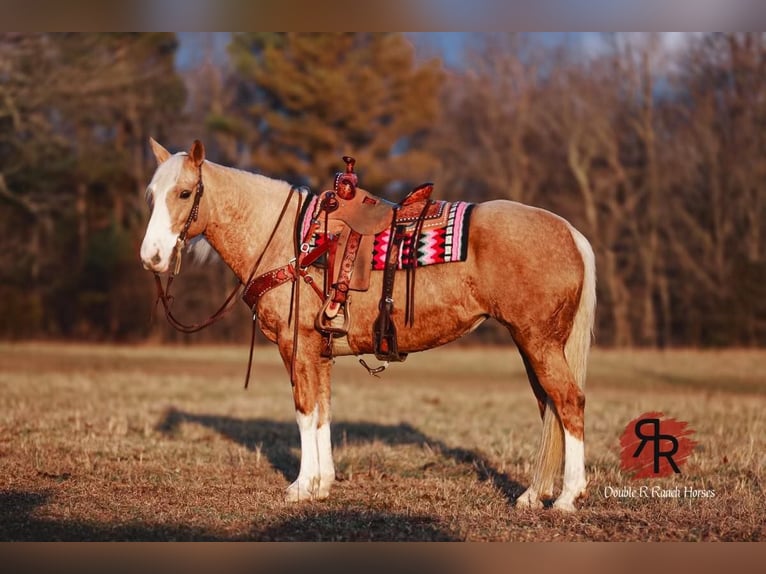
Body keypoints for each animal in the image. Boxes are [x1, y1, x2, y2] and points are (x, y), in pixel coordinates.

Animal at [144, 140, 600, 512]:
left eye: (185, 192)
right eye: (151, 195)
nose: (151, 256)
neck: (290, 241)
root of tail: (569, 231)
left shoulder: (297, 347)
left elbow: (304, 412)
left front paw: (301, 486)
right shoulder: (320, 352)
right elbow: (323, 413)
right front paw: (322, 485)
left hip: (539, 342)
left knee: (569, 402)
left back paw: (566, 497)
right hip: (533, 344)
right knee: (550, 408)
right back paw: (532, 495)